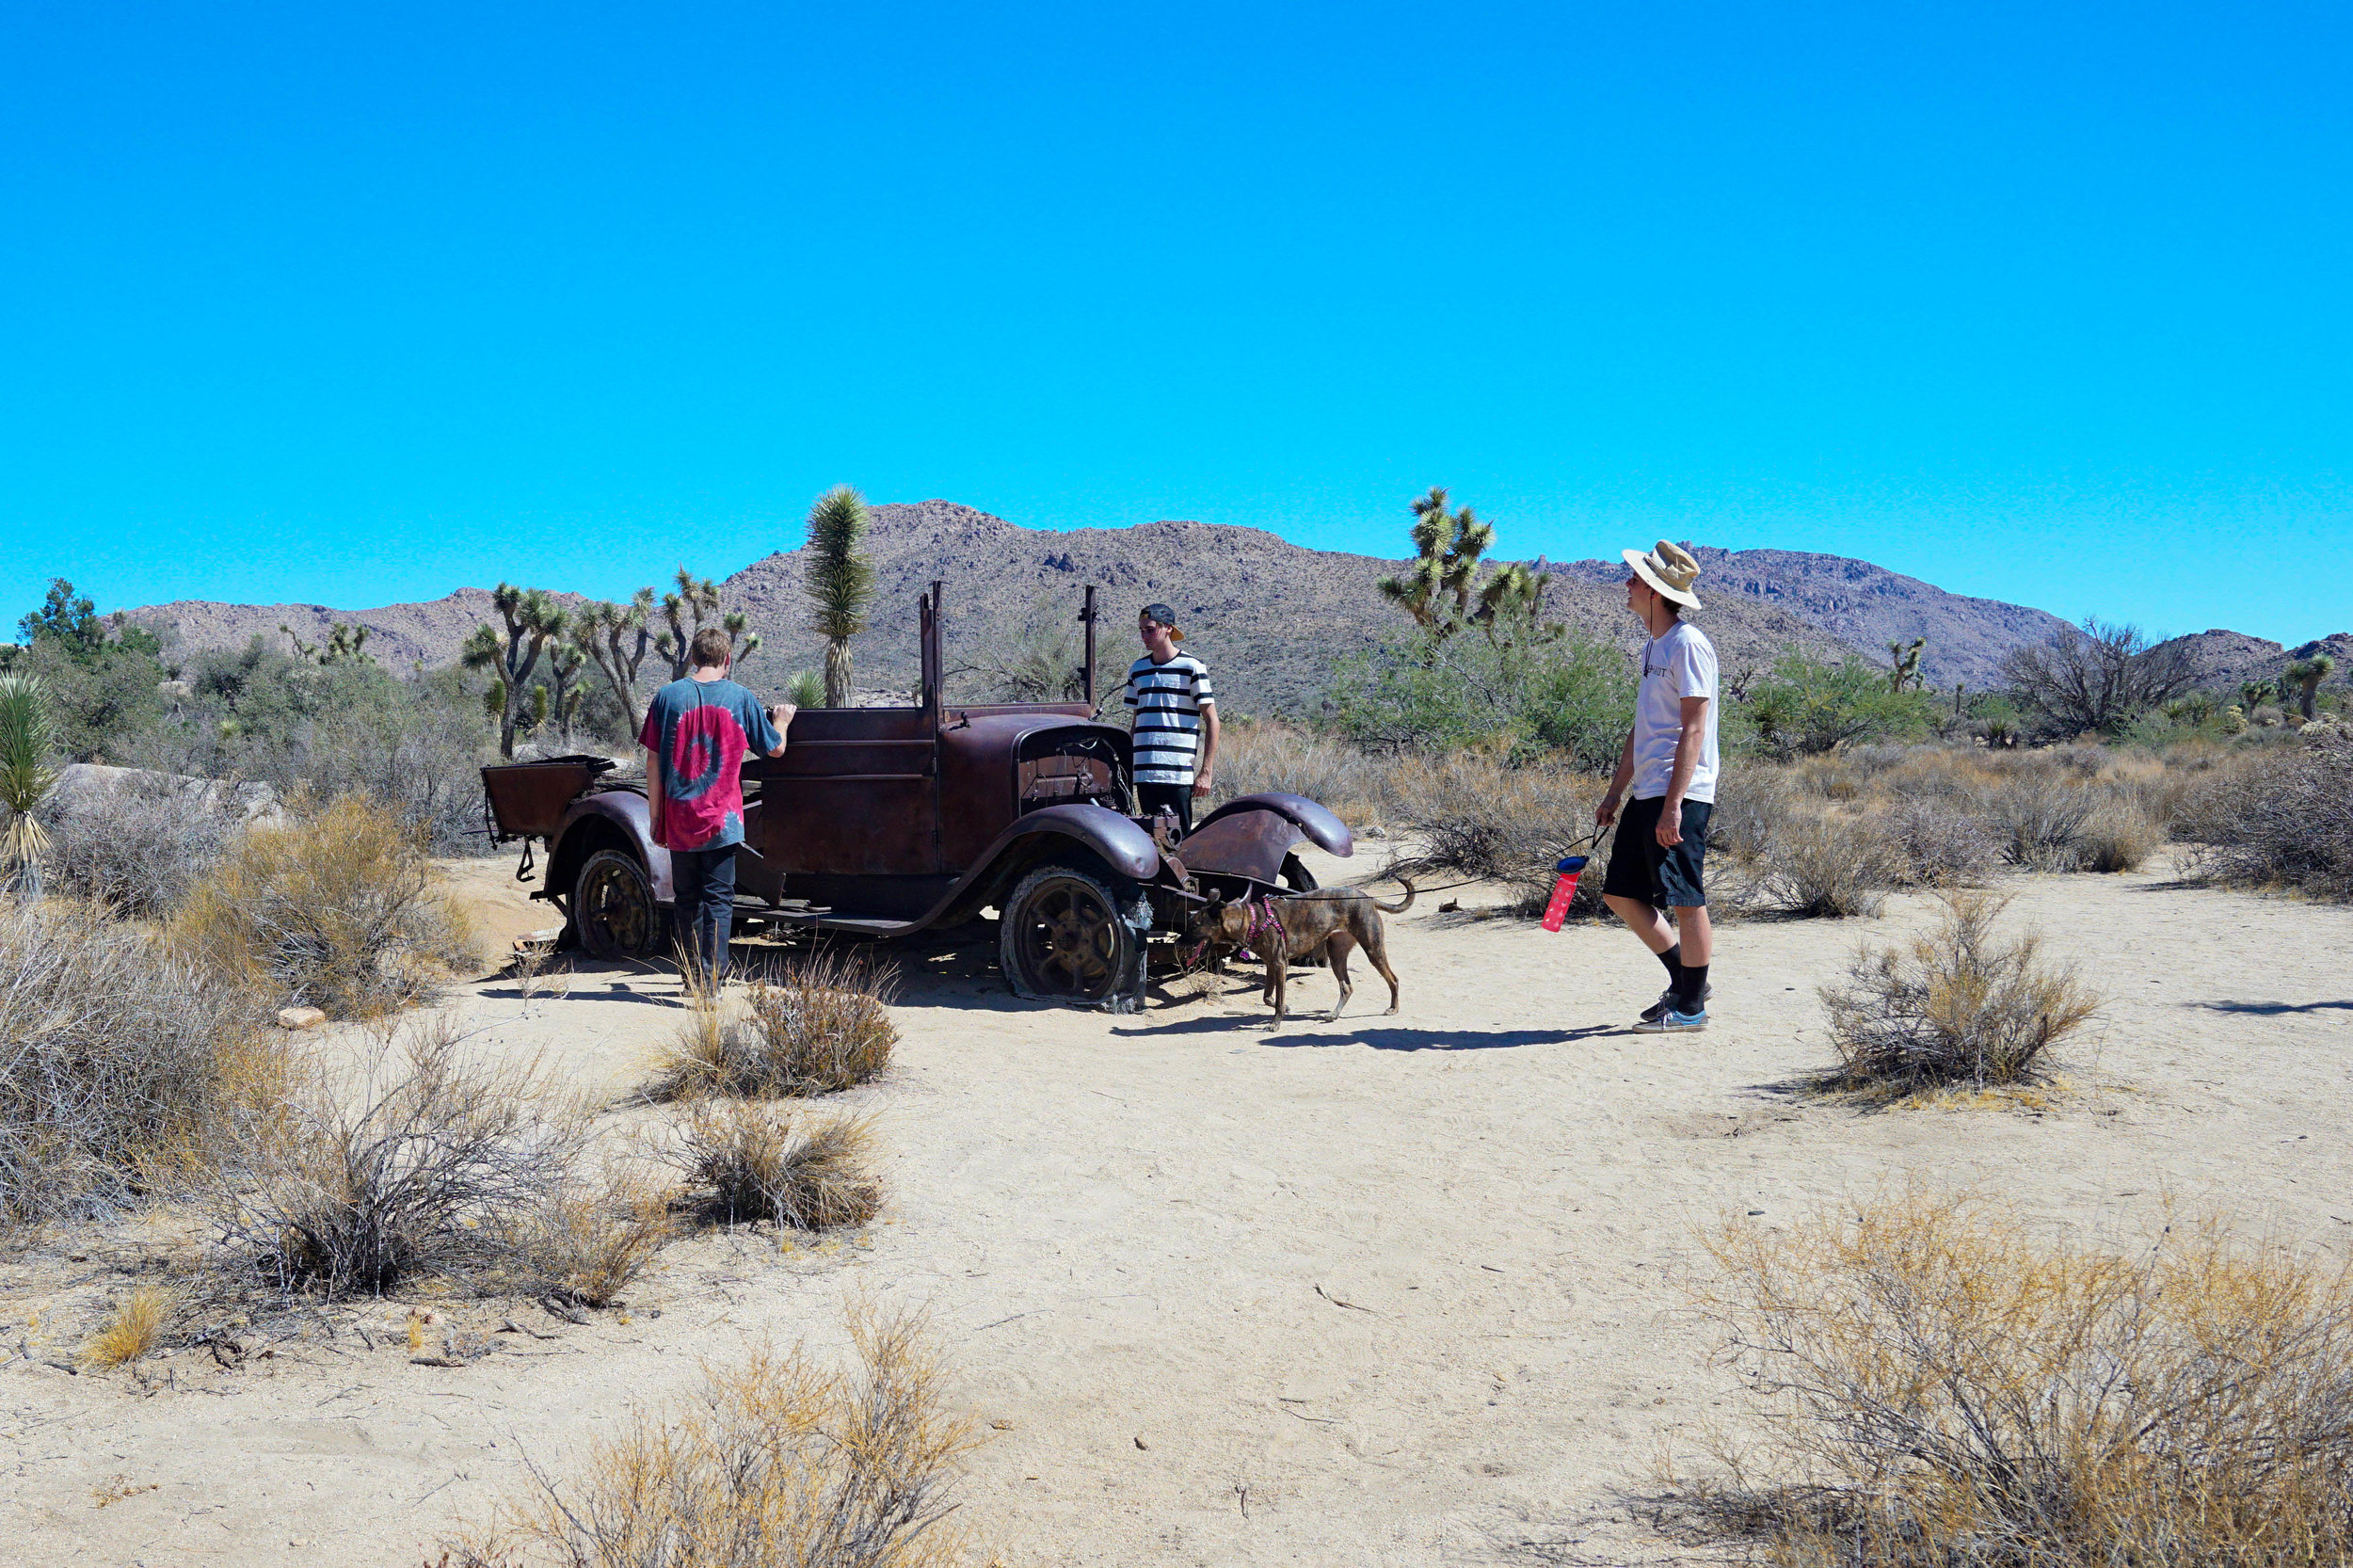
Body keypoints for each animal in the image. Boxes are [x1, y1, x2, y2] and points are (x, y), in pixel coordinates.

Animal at [1195, 871, 1412, 1021]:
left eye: (1196, 924)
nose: (1185, 942)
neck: (1253, 919)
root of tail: (1368, 898)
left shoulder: (1280, 964)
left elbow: (1278, 1000)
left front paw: (1275, 1023)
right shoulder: (1271, 965)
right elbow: (1267, 997)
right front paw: (1284, 1008)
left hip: (1373, 950)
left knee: (1393, 979)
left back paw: (1394, 1008)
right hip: (1337, 955)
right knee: (1347, 987)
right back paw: (1333, 1014)